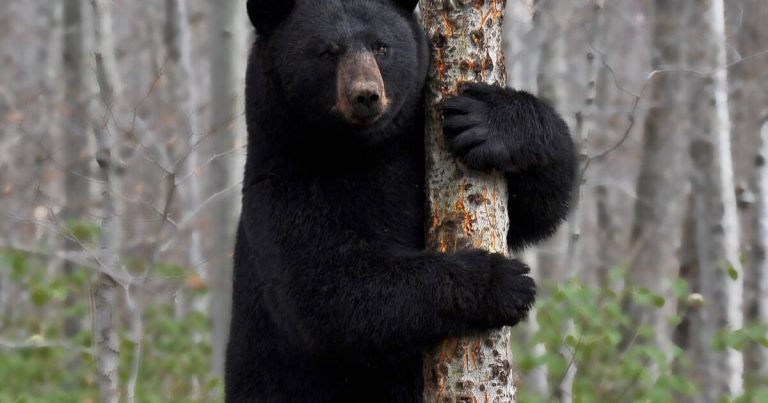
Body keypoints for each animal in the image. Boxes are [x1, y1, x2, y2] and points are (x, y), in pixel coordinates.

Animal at [225, 0, 575, 402]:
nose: (365, 95)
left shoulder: (411, 148)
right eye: (327, 51)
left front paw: (489, 121)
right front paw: (500, 280)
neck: (363, 150)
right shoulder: (284, 190)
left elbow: (533, 210)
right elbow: (328, 290)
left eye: (381, 46)